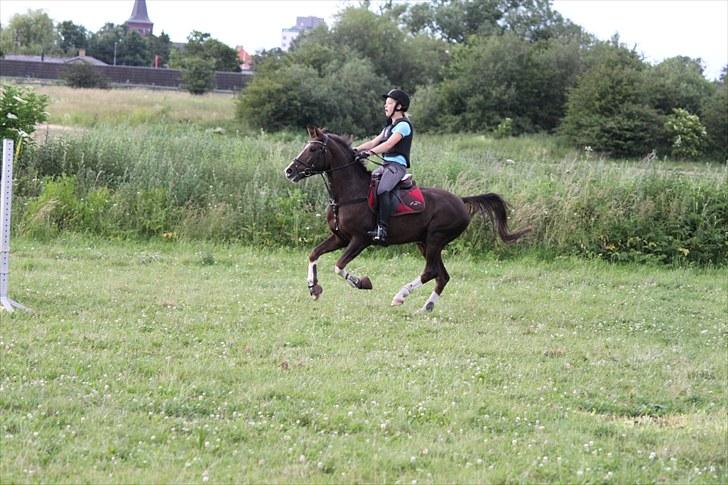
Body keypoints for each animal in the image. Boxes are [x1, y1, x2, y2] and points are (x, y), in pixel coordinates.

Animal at [284, 127, 530, 312]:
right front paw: (313, 288)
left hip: (435, 239)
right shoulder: (340, 237)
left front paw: (363, 282)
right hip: (425, 243)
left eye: (313, 149)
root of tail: (460, 200)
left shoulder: (360, 240)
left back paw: (400, 296)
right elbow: (314, 254)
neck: (349, 193)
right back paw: (426, 308)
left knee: (431, 272)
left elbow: (339, 266)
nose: (289, 171)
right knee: (442, 276)